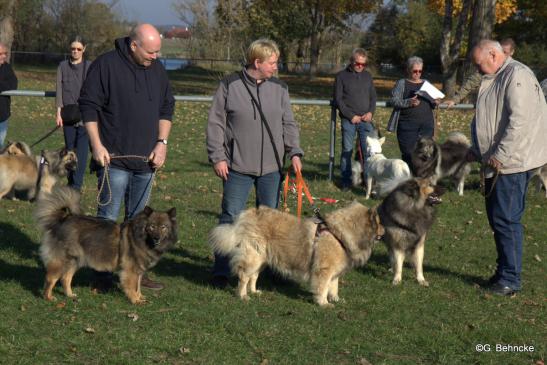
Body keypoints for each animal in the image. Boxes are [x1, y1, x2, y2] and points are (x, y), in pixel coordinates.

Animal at [33, 186, 178, 302]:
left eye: (164, 227)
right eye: (152, 226)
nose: (157, 238)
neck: (141, 237)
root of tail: (62, 219)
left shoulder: (139, 270)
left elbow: (138, 286)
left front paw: (140, 297)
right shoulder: (130, 270)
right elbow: (132, 286)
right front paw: (135, 300)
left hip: (76, 260)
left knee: (65, 278)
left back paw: (70, 295)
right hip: (62, 261)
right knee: (50, 279)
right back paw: (48, 297)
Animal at [210, 203, 386, 306]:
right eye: (379, 223)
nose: (384, 231)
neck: (338, 234)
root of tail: (248, 215)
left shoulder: (334, 272)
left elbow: (333, 286)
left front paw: (336, 299)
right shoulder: (324, 270)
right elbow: (323, 287)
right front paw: (324, 303)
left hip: (261, 259)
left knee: (253, 276)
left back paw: (254, 292)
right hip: (253, 257)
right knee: (244, 276)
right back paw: (243, 296)